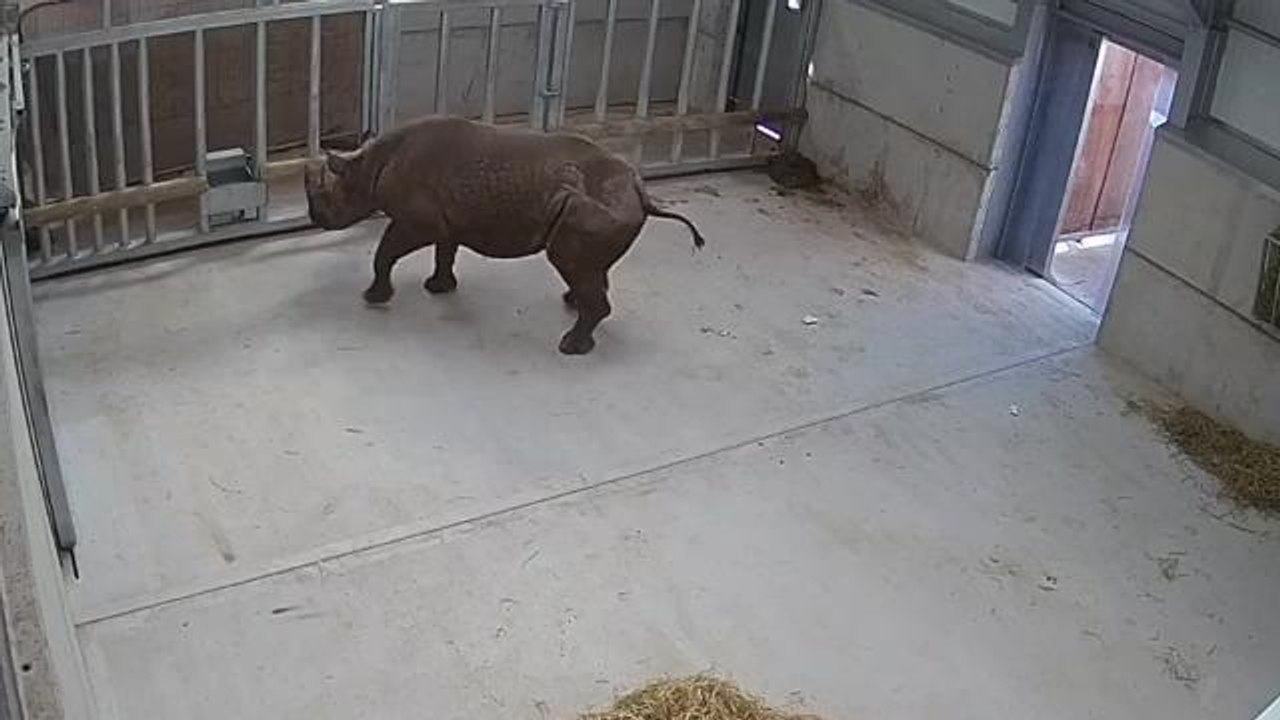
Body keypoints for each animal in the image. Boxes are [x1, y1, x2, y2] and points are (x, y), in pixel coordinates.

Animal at [304, 117, 706, 355]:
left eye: (328, 195)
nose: (315, 218)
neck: (368, 164)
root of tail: (640, 190)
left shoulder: (417, 222)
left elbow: (385, 252)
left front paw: (373, 297)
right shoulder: (447, 220)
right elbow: (445, 250)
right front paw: (438, 288)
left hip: (596, 206)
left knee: (568, 260)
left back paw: (569, 346)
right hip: (607, 206)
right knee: (586, 266)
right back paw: (572, 303)